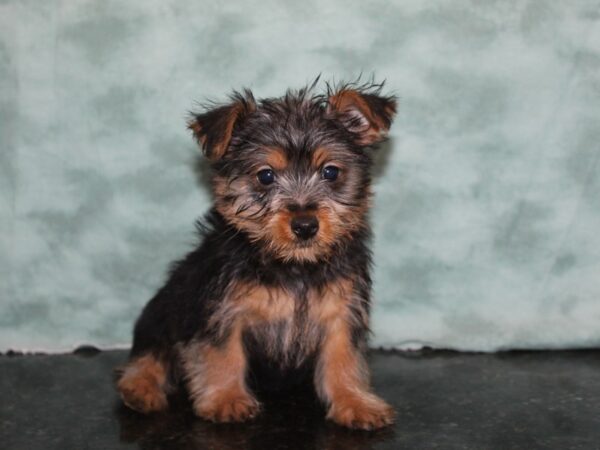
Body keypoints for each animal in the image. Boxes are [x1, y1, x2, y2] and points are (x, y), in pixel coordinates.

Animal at [117, 79, 398, 430]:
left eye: (330, 172)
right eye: (265, 176)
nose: (305, 225)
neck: (294, 265)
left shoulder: (342, 310)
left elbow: (343, 356)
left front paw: (355, 401)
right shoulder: (221, 310)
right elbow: (223, 353)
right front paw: (226, 399)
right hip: (165, 309)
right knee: (151, 354)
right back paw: (140, 389)